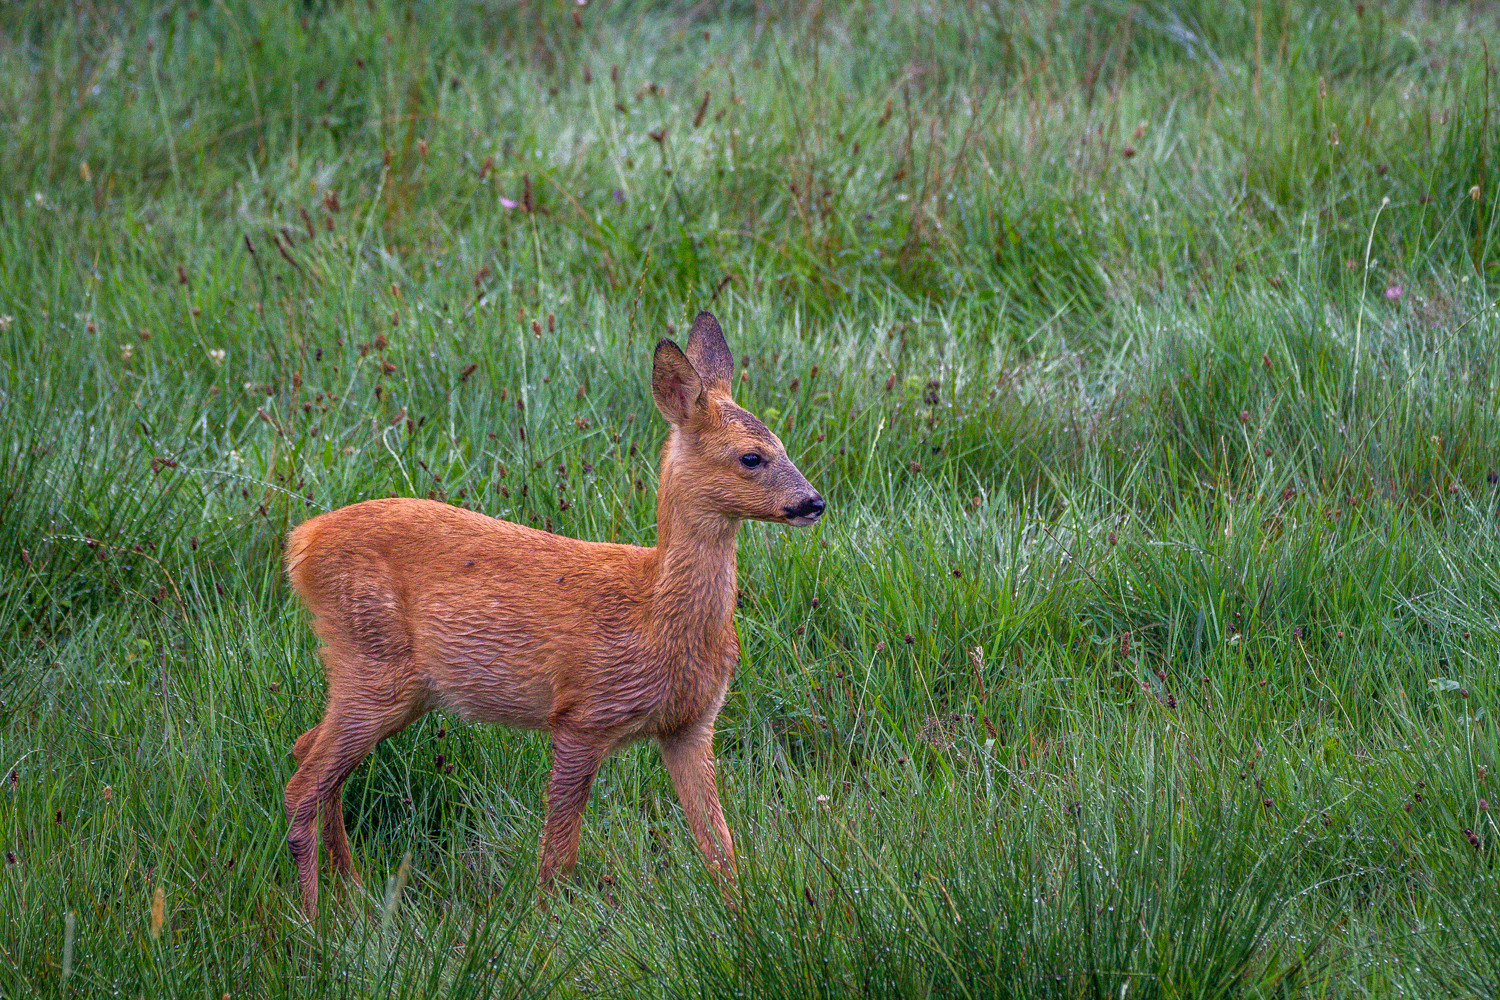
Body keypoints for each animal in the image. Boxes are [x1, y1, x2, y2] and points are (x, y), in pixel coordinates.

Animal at [282, 308, 822, 917]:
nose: (813, 502)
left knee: (310, 756)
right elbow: (559, 855)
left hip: (385, 680)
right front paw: (547, 928)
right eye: (751, 457)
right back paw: (314, 919)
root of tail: (300, 543)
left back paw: (351, 892)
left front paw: (739, 914)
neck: (655, 616)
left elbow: (719, 843)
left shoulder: (690, 723)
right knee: (303, 783)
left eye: (783, 444)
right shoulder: (583, 713)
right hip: (372, 664)